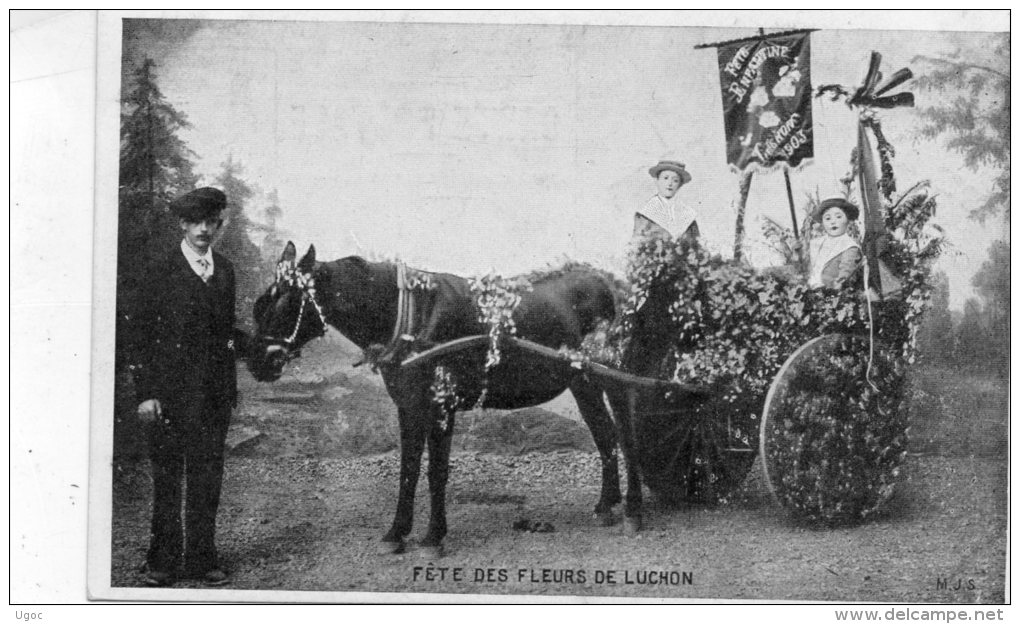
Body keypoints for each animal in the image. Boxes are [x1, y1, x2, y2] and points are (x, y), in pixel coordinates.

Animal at [244, 241, 652, 554]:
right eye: (261, 302)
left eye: (287, 302)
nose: (256, 361)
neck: (409, 315)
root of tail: (612, 282)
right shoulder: (408, 404)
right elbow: (408, 469)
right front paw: (396, 533)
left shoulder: (442, 405)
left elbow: (436, 471)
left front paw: (433, 536)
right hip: (582, 382)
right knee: (605, 437)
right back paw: (606, 505)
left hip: (614, 378)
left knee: (627, 438)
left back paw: (633, 510)